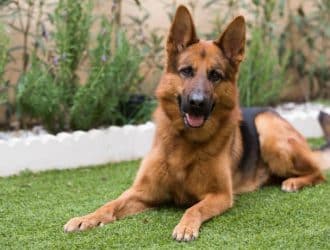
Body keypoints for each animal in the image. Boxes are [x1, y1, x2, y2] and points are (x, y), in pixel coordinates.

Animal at [65, 5, 330, 241]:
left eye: (215, 75)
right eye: (186, 71)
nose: (197, 103)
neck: (185, 142)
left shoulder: (220, 195)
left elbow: (194, 207)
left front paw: (185, 227)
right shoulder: (141, 193)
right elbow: (110, 203)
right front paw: (87, 218)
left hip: (268, 130)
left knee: (318, 172)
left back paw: (293, 182)